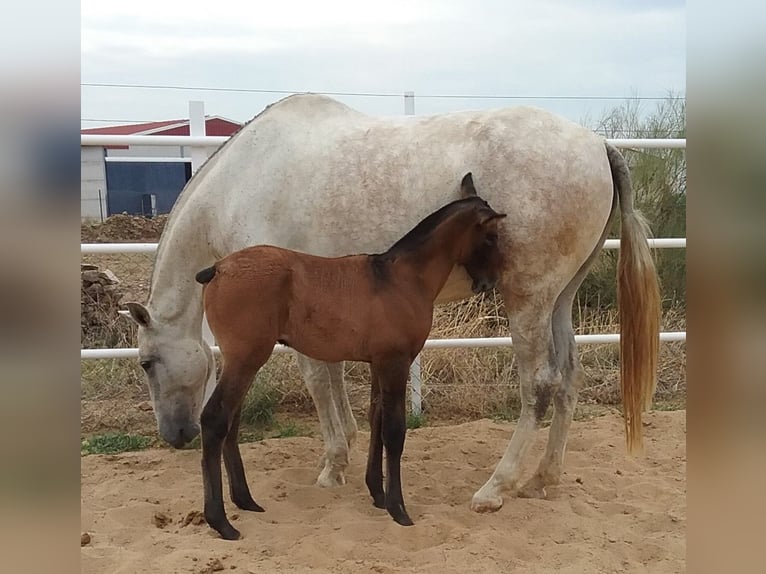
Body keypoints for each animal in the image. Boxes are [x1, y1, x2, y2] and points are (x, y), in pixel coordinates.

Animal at [196, 174, 510, 540]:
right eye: (490, 237)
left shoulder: (379, 364)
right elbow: (394, 431)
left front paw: (377, 494)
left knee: (230, 421)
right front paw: (398, 509)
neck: (401, 278)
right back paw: (221, 521)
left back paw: (245, 501)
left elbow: (376, 420)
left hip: (244, 361)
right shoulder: (395, 363)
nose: (490, 282)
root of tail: (219, 268)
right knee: (215, 420)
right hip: (245, 359)